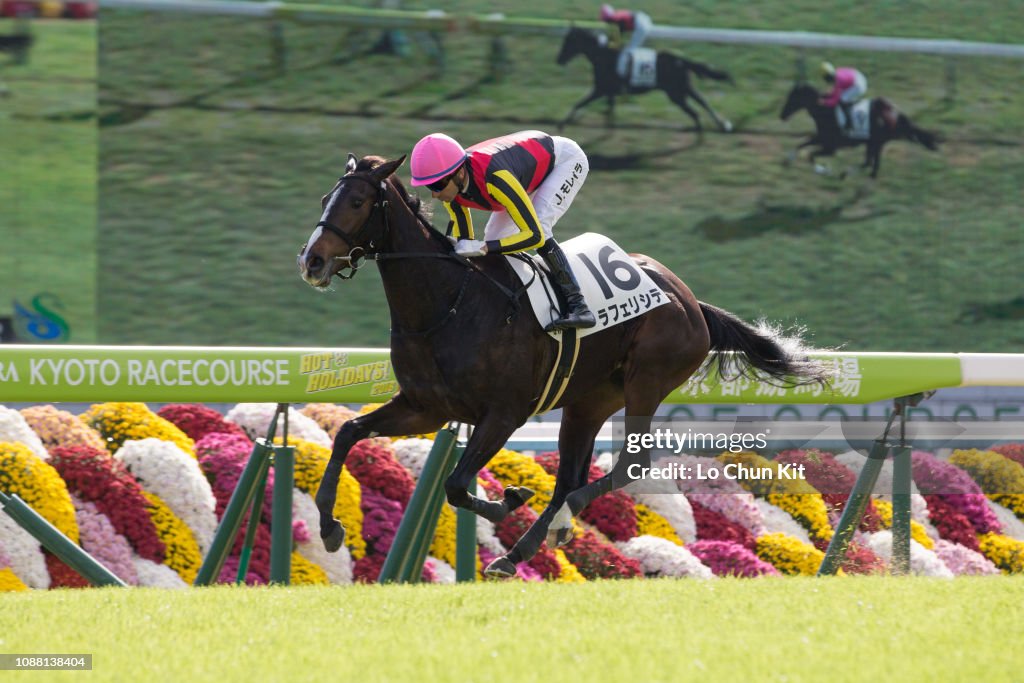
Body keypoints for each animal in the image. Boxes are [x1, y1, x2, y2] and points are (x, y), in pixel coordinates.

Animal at [557, 26, 733, 134]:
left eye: (568, 42)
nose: (559, 60)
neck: (603, 55)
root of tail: (681, 60)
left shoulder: (600, 89)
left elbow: (579, 103)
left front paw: (562, 124)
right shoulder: (608, 91)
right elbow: (608, 109)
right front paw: (609, 125)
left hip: (676, 93)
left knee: (696, 110)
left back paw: (705, 129)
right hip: (683, 89)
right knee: (701, 103)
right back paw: (719, 125)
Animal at [778, 81, 937, 179]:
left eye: (793, 98)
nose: (782, 115)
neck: (825, 111)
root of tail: (895, 112)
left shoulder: (830, 147)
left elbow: (810, 155)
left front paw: (823, 170)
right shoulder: (821, 139)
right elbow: (801, 144)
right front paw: (787, 160)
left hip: (875, 142)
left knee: (870, 163)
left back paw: (847, 174)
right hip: (873, 143)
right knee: (871, 164)